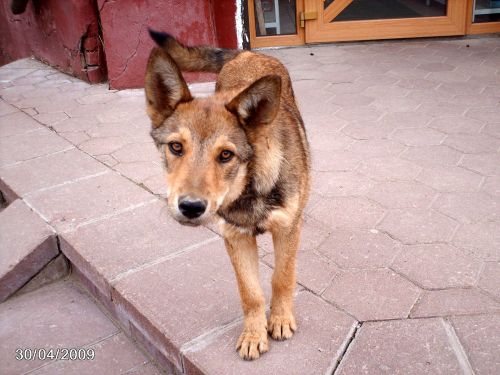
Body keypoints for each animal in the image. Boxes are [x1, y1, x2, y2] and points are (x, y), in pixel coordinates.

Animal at [144, 30, 308, 362]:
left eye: (226, 155)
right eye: (176, 147)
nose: (190, 207)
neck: (249, 187)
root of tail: (247, 53)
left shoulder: (287, 229)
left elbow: (282, 278)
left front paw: (280, 319)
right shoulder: (236, 237)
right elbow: (251, 293)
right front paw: (254, 334)